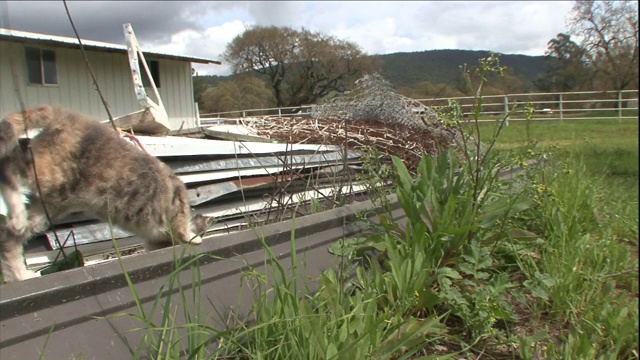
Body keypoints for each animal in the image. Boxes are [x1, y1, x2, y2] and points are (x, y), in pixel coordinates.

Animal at [0, 105, 210, 282]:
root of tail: (62, 113)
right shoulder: (176, 207)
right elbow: (183, 228)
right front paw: (194, 238)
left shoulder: (155, 241)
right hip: (50, 173)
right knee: (8, 166)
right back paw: (16, 214)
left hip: (50, 204)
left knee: (9, 238)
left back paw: (20, 271)